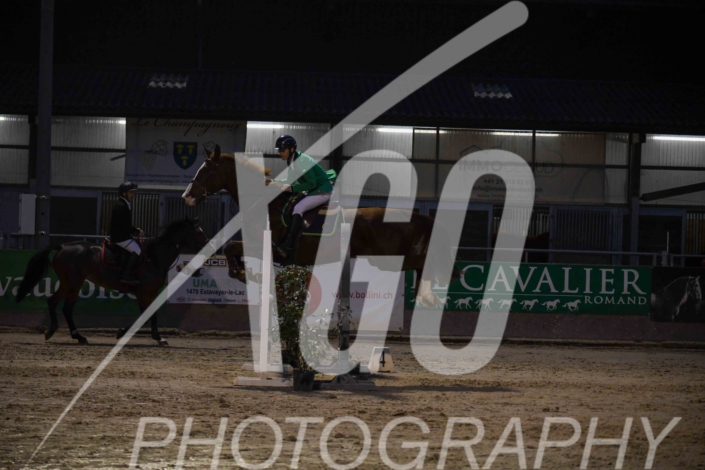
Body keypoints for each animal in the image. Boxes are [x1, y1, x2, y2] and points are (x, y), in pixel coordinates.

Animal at [14, 218, 209, 345]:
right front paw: (123, 332)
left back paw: (54, 331)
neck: (154, 257)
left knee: (54, 302)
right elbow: (144, 314)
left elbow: (150, 314)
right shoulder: (142, 291)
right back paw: (78, 337)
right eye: (198, 233)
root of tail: (63, 246)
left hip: (68, 283)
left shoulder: (152, 292)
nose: (210, 246)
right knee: (67, 308)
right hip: (74, 283)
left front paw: (158, 337)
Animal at [181, 145, 459, 307]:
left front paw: (247, 274)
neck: (265, 204)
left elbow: (230, 248)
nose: (187, 196)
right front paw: (244, 272)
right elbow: (230, 251)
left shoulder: (266, 245)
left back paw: (431, 295)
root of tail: (420, 217)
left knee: (426, 265)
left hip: (390, 258)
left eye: (206, 170)